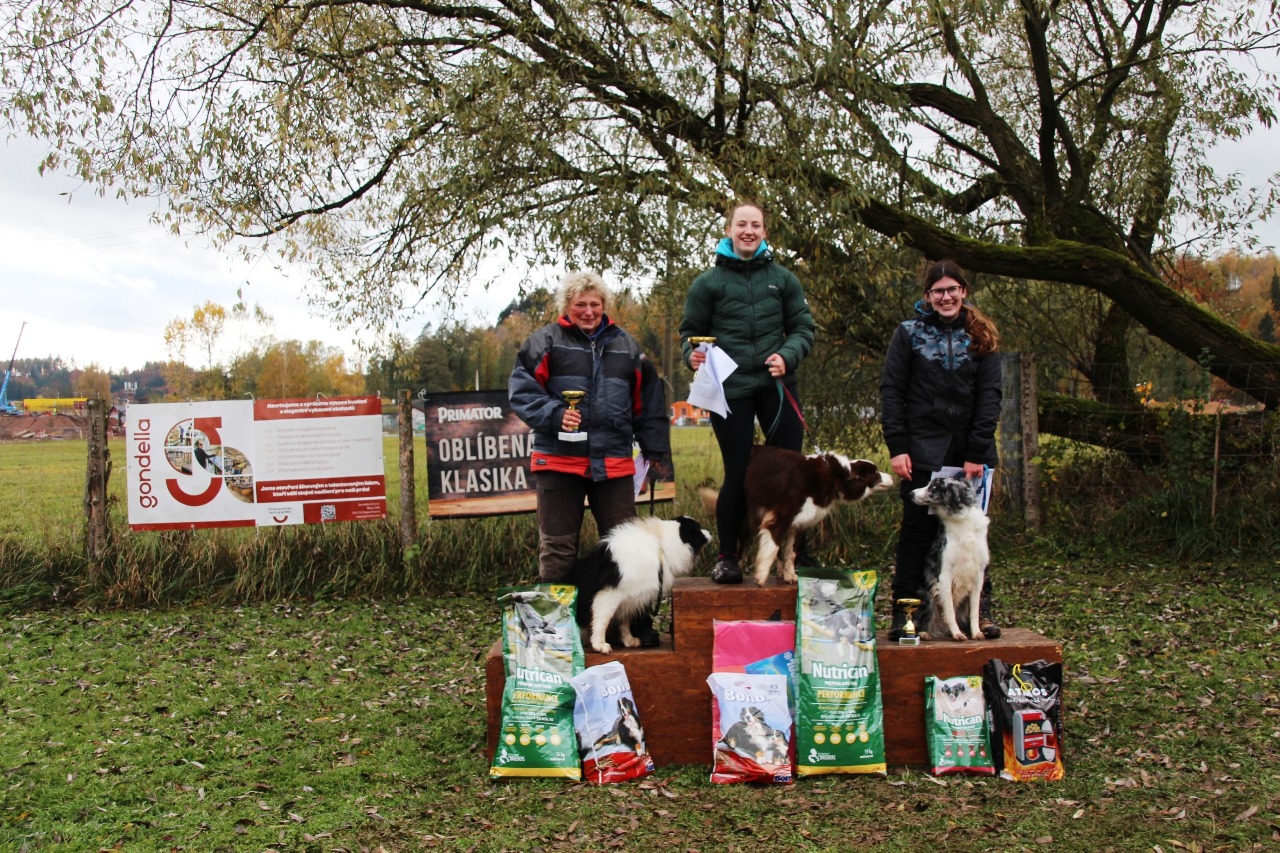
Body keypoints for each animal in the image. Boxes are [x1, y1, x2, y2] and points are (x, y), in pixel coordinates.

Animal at [571, 515, 711, 654]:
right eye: (698, 529)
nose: (709, 532)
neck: (661, 545)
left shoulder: (631, 596)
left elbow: (624, 622)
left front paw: (629, 640)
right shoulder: (609, 594)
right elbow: (602, 620)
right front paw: (599, 644)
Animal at [700, 445, 893, 585]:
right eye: (875, 472)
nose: (892, 476)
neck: (833, 475)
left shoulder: (799, 522)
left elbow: (790, 552)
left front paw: (789, 575)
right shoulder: (778, 517)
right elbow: (773, 547)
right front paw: (761, 575)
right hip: (746, 515)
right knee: (739, 543)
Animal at [911, 476, 990, 641]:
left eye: (933, 488)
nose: (911, 493)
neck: (962, 521)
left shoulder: (978, 575)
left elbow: (974, 611)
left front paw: (976, 632)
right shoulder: (944, 575)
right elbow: (950, 612)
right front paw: (957, 633)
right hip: (929, 595)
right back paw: (925, 632)